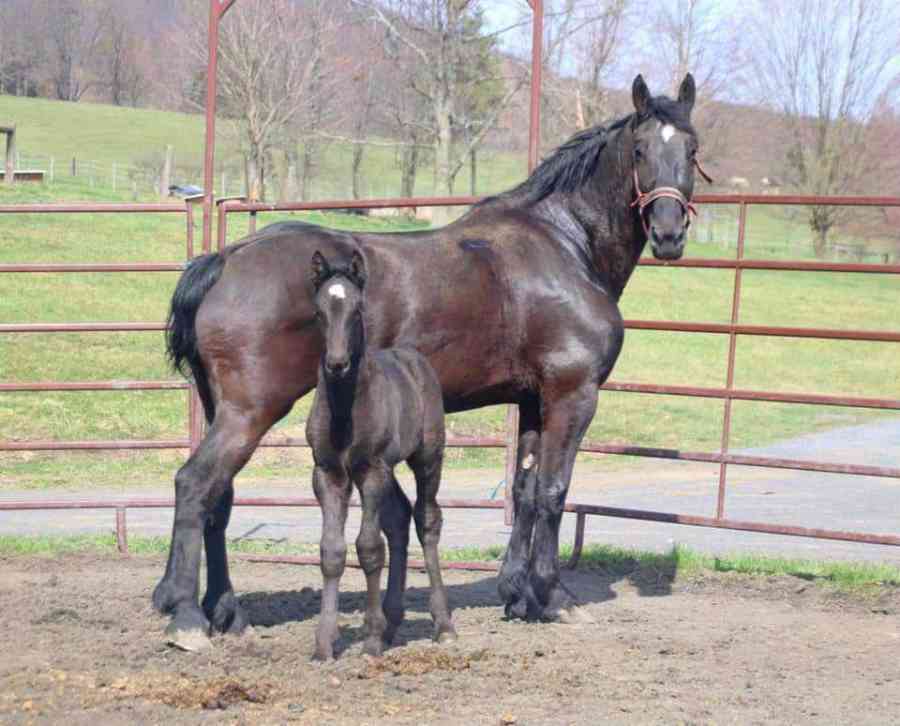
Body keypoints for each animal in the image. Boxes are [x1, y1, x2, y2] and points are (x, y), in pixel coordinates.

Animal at [308, 249, 454, 660]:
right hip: (388, 470)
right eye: (319, 310)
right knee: (399, 519)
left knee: (426, 520)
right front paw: (324, 644)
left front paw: (371, 638)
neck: (345, 408)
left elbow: (369, 547)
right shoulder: (328, 473)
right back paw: (393, 621)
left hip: (427, 458)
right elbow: (332, 551)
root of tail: (413, 358)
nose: (336, 363)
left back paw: (442, 625)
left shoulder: (370, 470)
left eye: (357, 309)